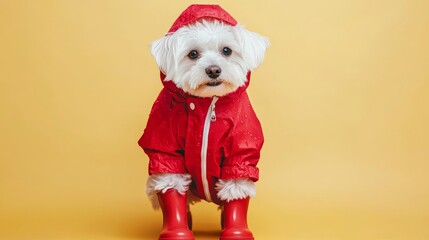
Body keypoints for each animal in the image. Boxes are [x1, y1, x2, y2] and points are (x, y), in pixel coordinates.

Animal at [139, 4, 268, 240]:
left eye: (227, 50)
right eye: (193, 54)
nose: (213, 70)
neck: (206, 104)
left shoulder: (242, 152)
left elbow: (236, 189)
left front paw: (236, 230)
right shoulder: (164, 149)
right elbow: (172, 190)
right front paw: (176, 230)